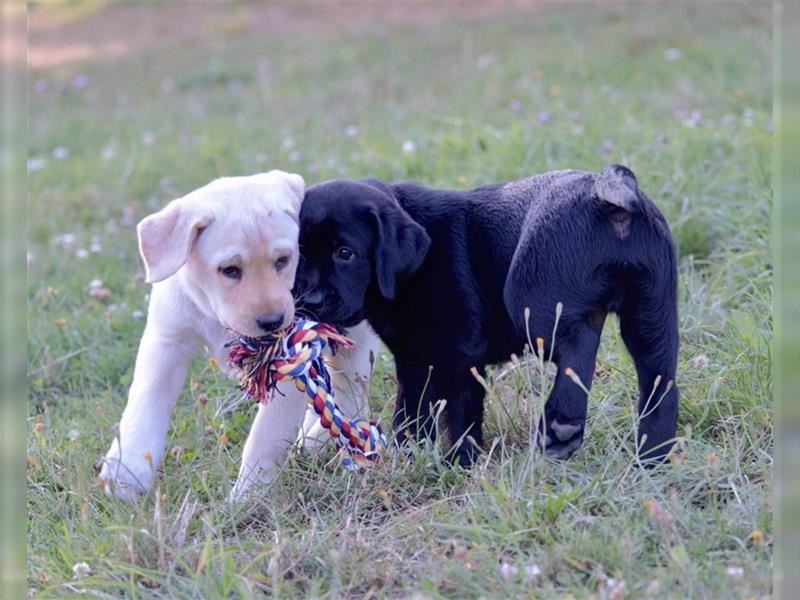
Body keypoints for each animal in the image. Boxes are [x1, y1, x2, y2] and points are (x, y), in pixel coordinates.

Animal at [98, 171, 380, 504]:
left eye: (284, 260)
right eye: (229, 269)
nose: (272, 321)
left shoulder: (287, 364)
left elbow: (265, 437)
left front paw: (247, 497)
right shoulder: (166, 342)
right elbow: (144, 406)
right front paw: (125, 475)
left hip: (354, 346)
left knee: (351, 392)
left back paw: (318, 440)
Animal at [296, 166, 680, 466]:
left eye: (346, 253)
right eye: (296, 255)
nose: (308, 300)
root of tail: (606, 188)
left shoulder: (460, 352)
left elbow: (459, 412)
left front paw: (459, 461)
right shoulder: (414, 359)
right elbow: (411, 409)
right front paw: (408, 456)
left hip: (532, 295)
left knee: (578, 344)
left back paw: (562, 425)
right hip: (652, 311)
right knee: (659, 381)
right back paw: (652, 458)